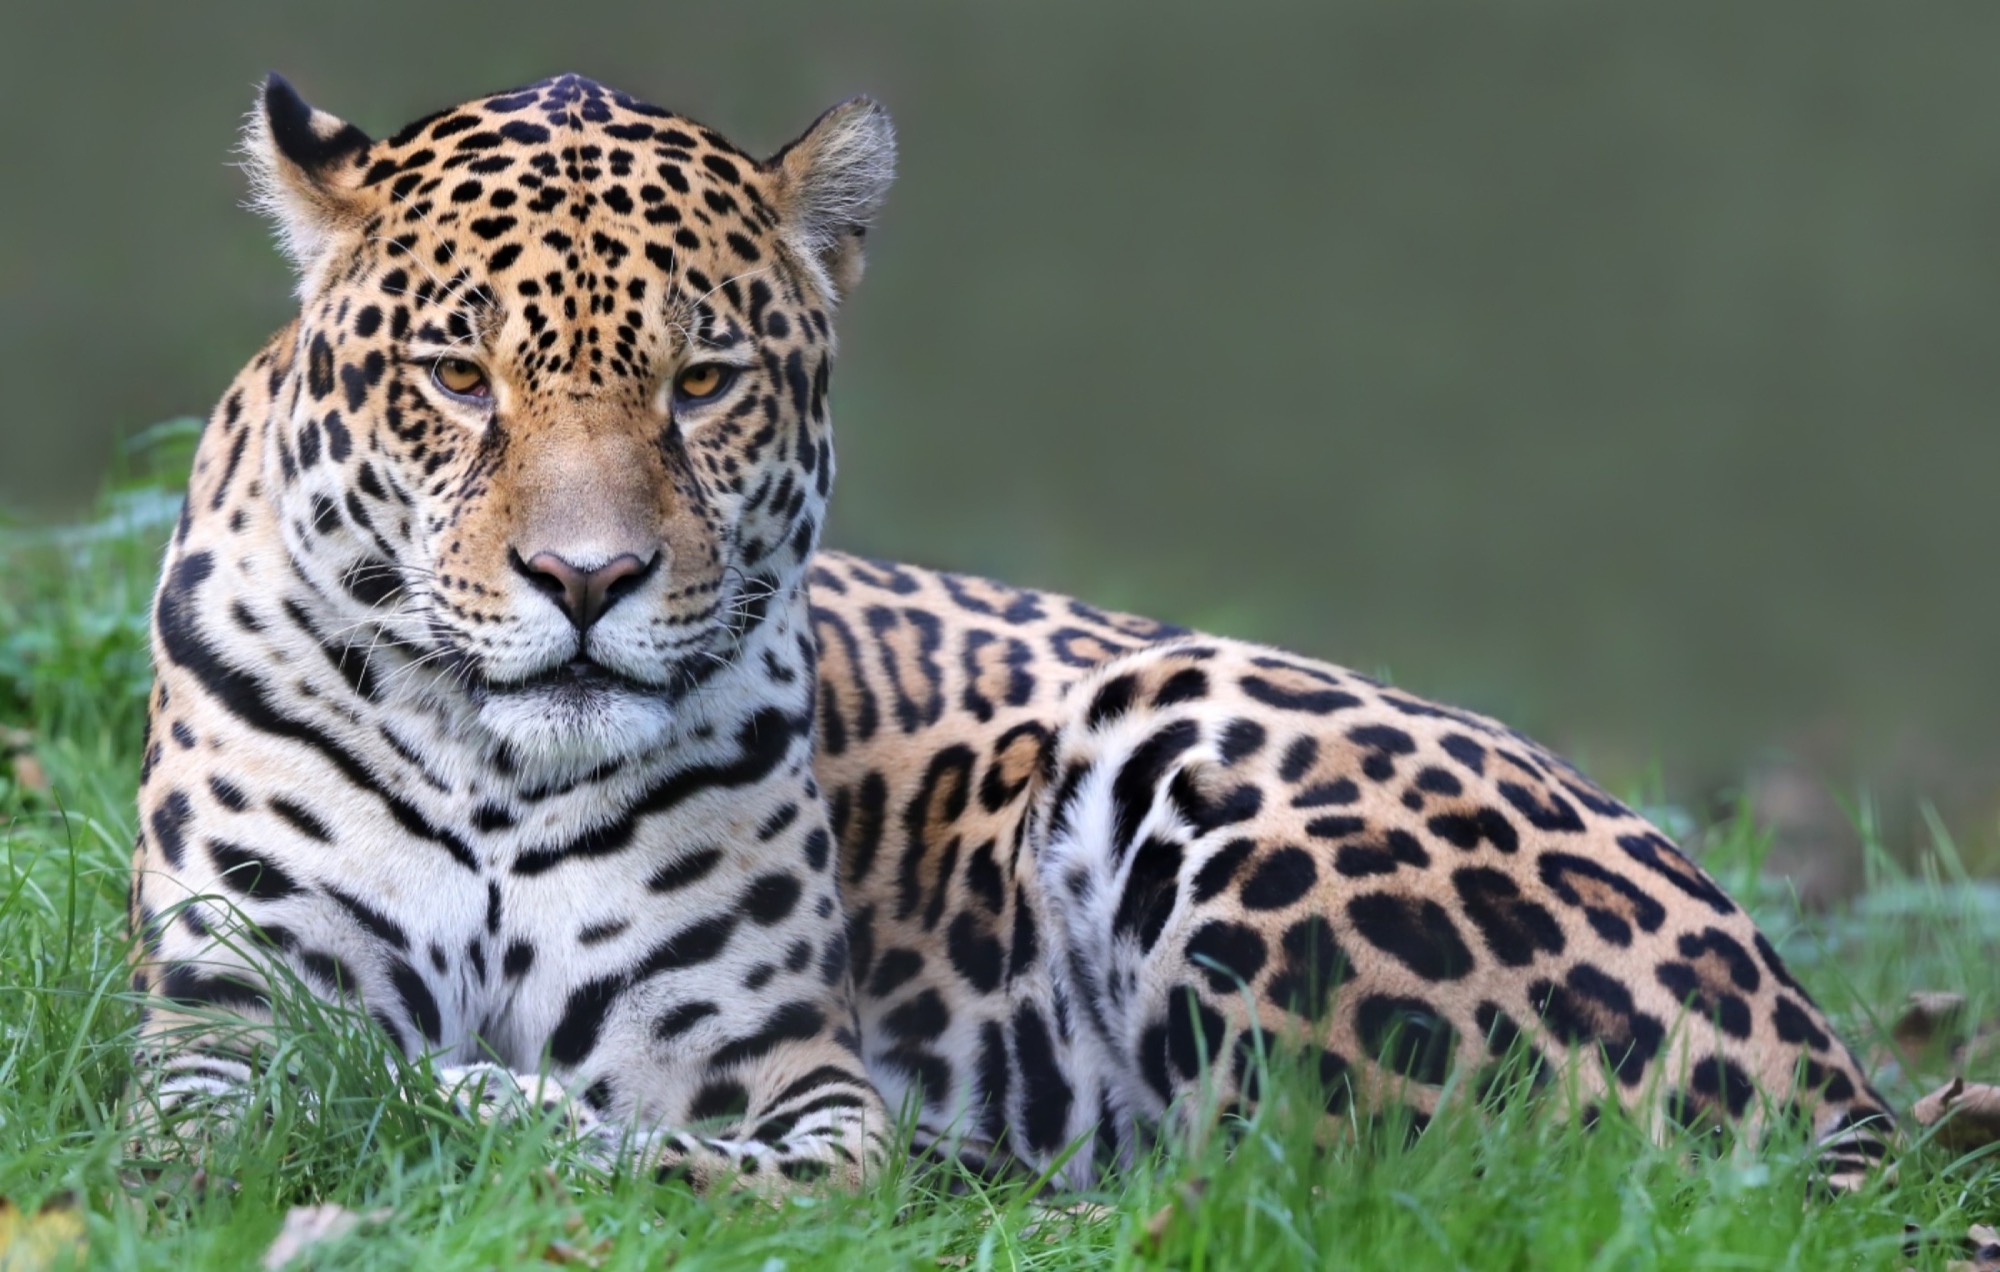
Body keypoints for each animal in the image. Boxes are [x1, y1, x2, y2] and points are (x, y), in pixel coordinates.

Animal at [127, 72, 1892, 1194]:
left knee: (1357, 1187)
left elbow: (693, 1163)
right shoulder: (214, 1018)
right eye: (456, 376)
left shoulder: (788, 1077)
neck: (501, 774)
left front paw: (463, 1097)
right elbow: (247, 1118)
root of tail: (1844, 1074)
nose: (586, 579)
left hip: (1187, 721)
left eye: (702, 382)